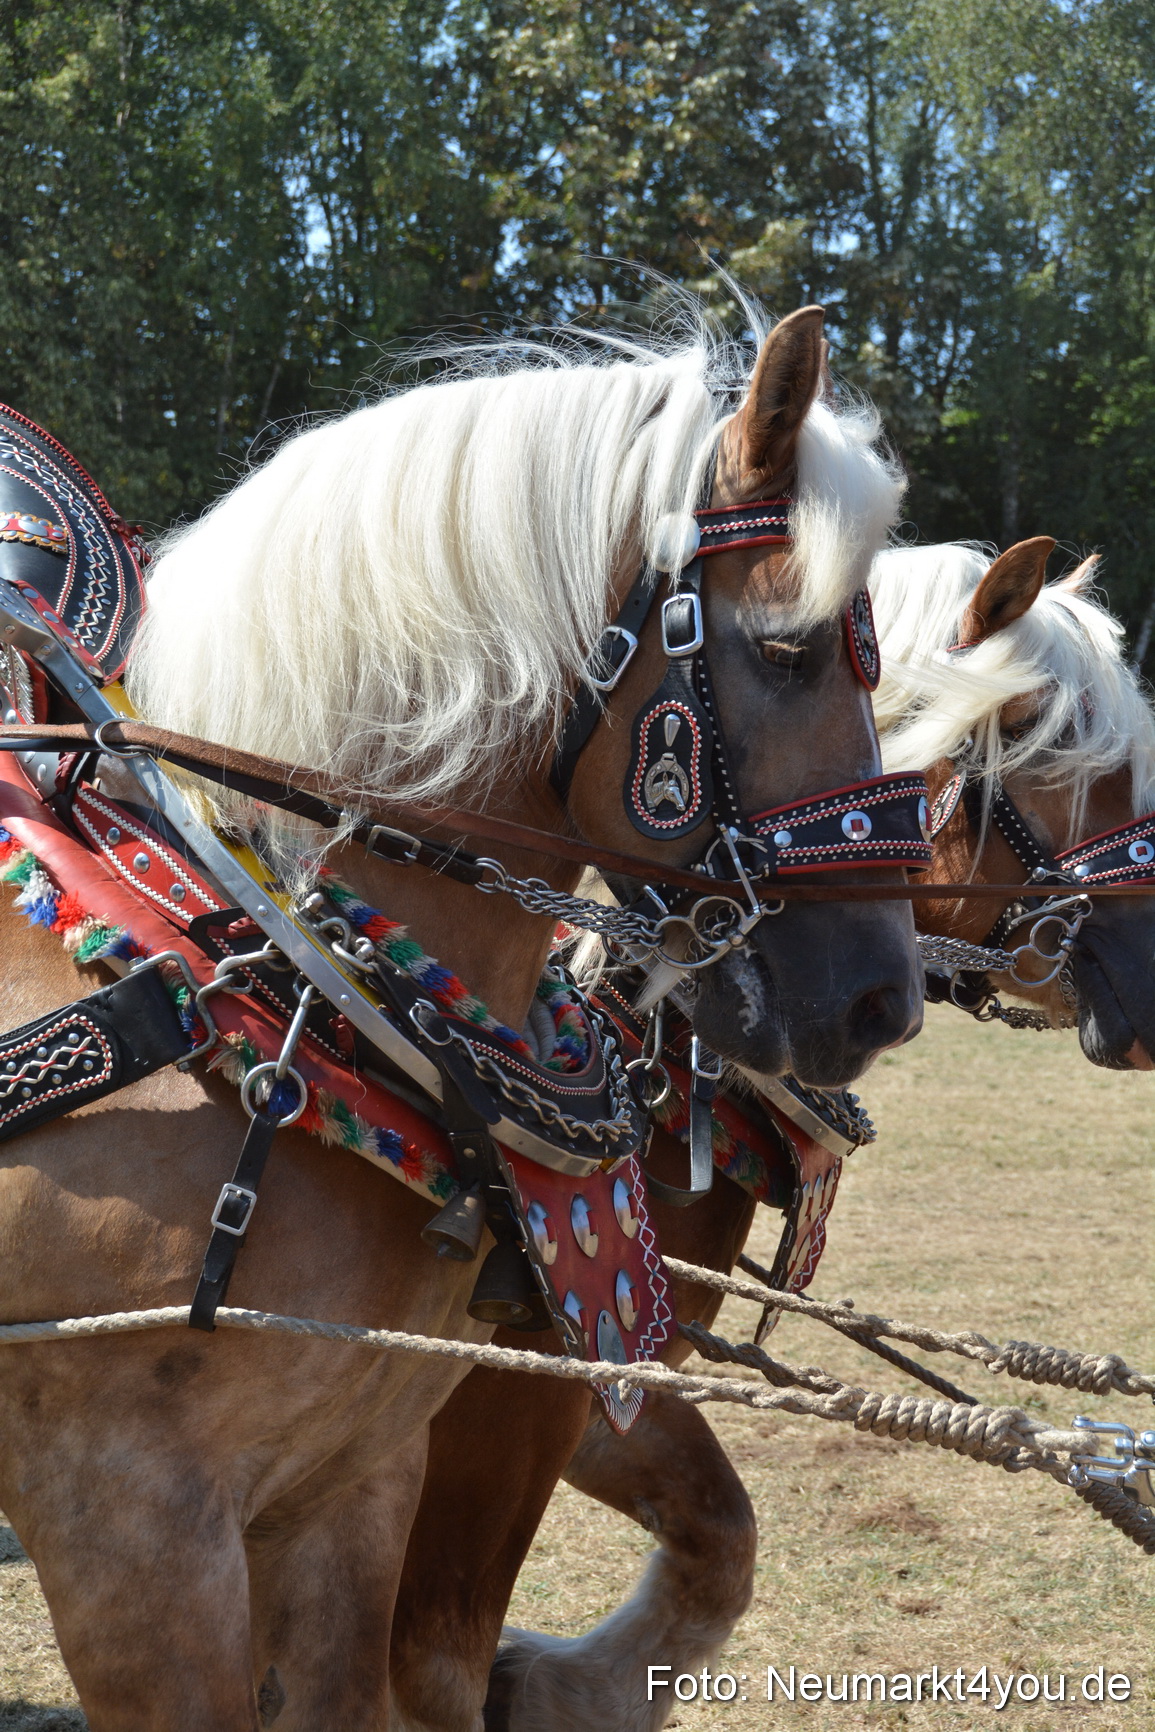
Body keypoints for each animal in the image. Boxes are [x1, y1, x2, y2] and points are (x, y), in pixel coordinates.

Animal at [387, 534, 1155, 1732]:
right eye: (1047, 735)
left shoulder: (611, 1370)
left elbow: (721, 1540)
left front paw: (565, 1686)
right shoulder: (495, 1388)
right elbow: (429, 1651)